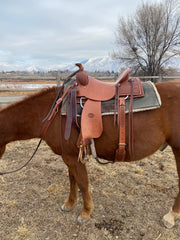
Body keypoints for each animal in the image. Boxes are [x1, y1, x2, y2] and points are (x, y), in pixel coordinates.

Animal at [0, 80, 180, 227]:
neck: (53, 113)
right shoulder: (70, 156)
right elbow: (73, 180)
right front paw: (70, 204)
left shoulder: (73, 158)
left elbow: (82, 183)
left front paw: (85, 212)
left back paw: (171, 216)